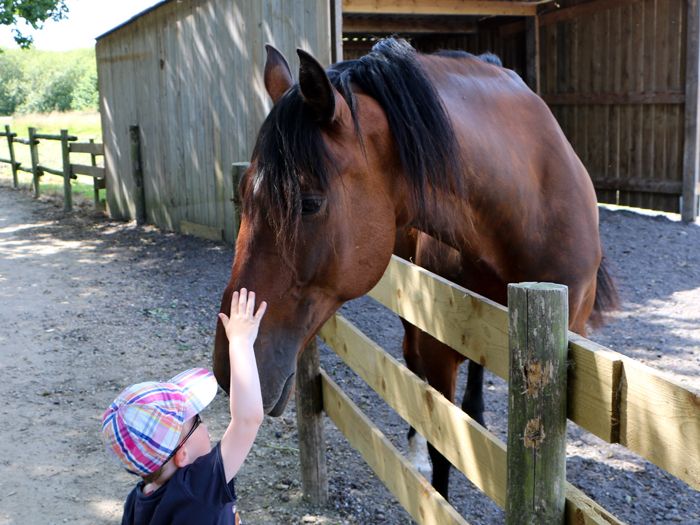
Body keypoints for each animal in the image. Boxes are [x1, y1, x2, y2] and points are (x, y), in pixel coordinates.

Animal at [213, 37, 616, 500]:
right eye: (244, 192)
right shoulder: (438, 343)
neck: (529, 208)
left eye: (310, 203)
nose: (229, 370)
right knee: (410, 359)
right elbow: (443, 447)